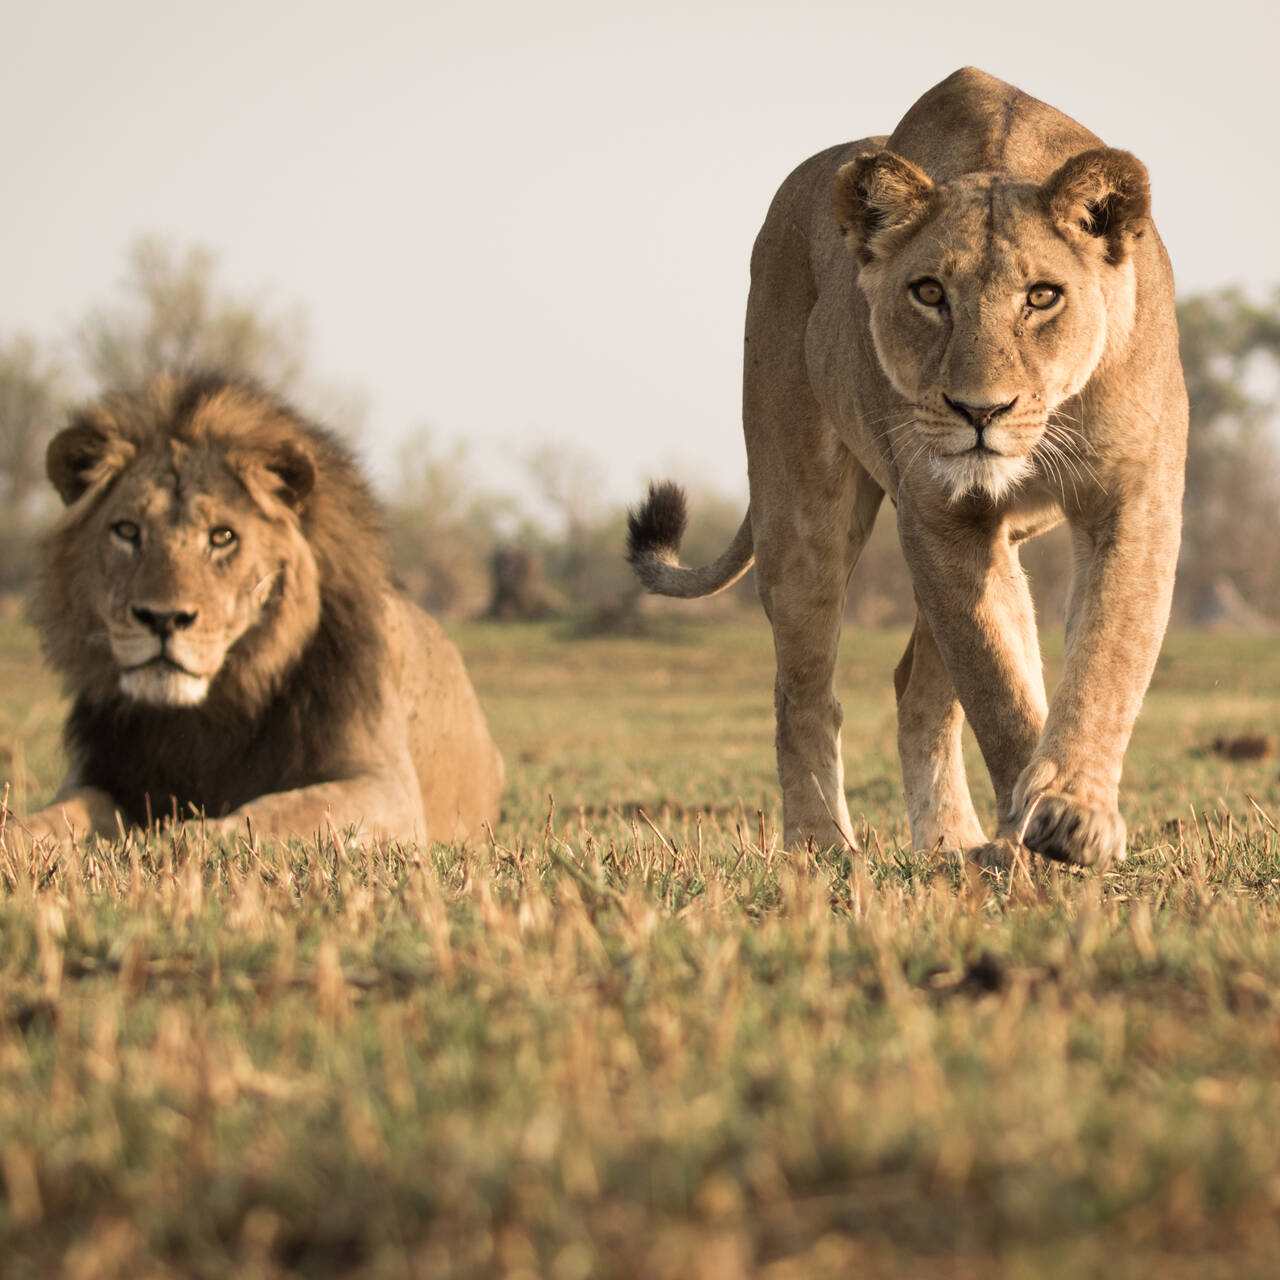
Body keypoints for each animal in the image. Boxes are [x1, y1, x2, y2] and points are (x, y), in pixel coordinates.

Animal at [18, 371, 504, 844]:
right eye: (126, 531)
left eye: (222, 537)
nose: (163, 619)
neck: (206, 714)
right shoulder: (101, 774)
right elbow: (61, 813)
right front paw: (18, 834)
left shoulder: (387, 789)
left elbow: (284, 811)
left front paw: (187, 835)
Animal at [629, 70, 1187, 870]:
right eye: (928, 293)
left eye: (1042, 296)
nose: (980, 410)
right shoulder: (941, 516)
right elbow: (996, 684)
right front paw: (1036, 824)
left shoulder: (1133, 499)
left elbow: (1108, 655)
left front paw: (1069, 813)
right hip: (801, 509)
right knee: (803, 690)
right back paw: (821, 846)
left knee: (918, 687)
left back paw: (953, 841)